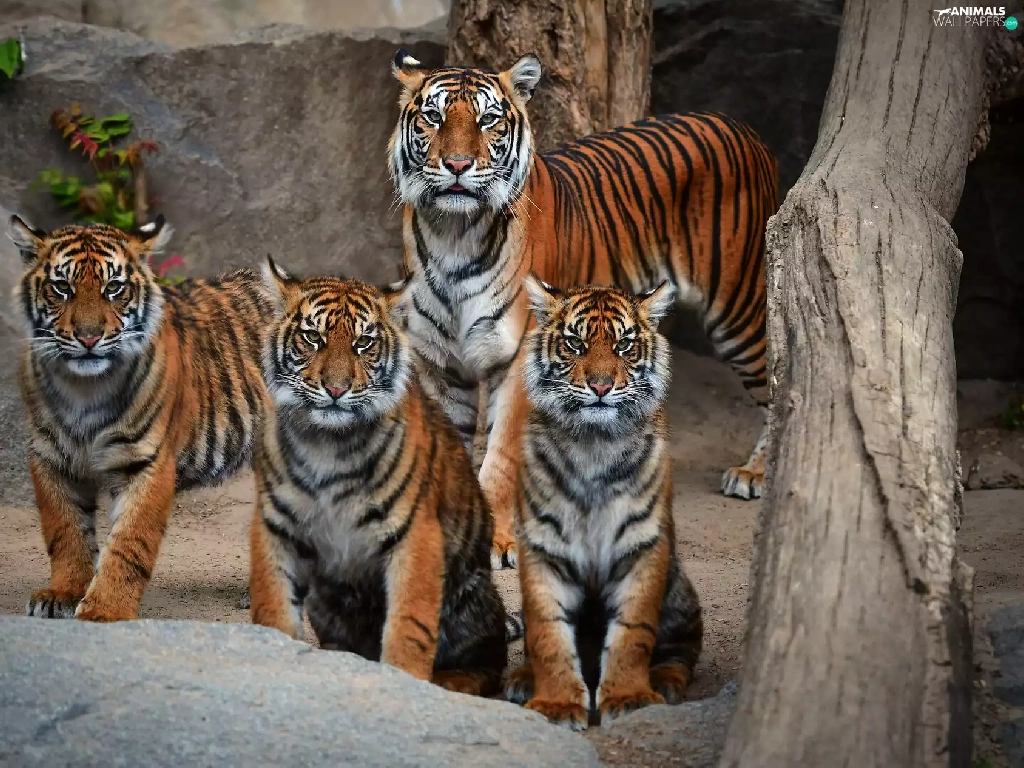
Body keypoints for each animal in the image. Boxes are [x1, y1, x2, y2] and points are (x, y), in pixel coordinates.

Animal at [8, 215, 272, 622]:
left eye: (114, 288)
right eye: (62, 288)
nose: (88, 338)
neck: (85, 390)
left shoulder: (148, 461)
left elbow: (129, 543)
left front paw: (105, 611)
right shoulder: (51, 457)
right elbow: (66, 532)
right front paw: (62, 595)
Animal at [248, 259, 507, 695]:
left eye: (363, 343)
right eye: (313, 338)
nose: (336, 389)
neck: (328, 444)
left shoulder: (415, 534)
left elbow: (409, 626)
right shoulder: (275, 526)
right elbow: (272, 609)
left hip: (473, 600)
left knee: (488, 662)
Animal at [388, 51, 778, 570]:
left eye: (488, 120)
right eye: (433, 117)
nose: (457, 164)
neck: (453, 232)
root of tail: (744, 128)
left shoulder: (518, 356)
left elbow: (500, 456)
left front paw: (497, 541)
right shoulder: (437, 361)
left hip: (739, 308)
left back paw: (755, 474)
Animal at [503, 278, 703, 730]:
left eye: (624, 345)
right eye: (575, 344)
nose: (600, 387)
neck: (593, 445)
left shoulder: (643, 544)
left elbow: (633, 630)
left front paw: (630, 697)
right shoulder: (543, 545)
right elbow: (547, 632)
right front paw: (556, 703)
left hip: (680, 589)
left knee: (685, 649)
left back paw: (664, 680)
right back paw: (521, 678)